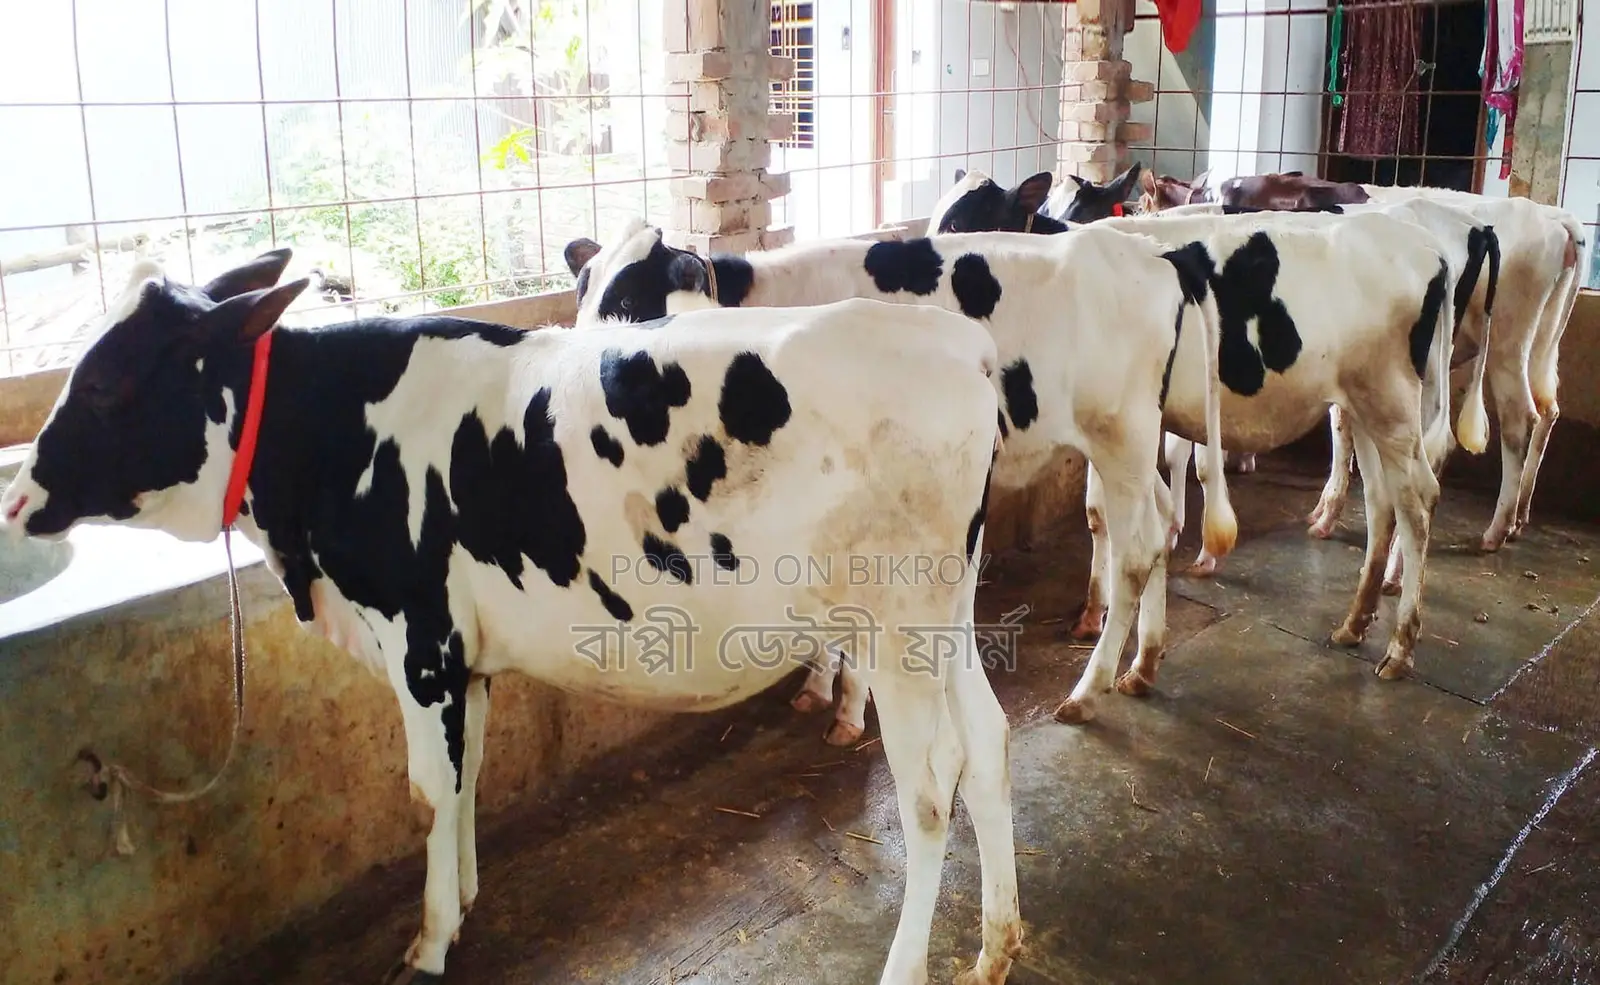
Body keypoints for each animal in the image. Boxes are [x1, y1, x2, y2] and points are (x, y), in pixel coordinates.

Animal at [0, 250, 1025, 985]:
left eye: (106, 381)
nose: (16, 496)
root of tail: (955, 342)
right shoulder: (465, 657)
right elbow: (466, 778)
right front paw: (464, 897)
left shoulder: (417, 638)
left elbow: (425, 790)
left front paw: (426, 943)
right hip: (948, 614)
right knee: (987, 741)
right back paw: (997, 942)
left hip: (897, 626)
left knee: (928, 787)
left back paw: (907, 965)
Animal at [563, 217, 1240, 732]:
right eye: (582, 293)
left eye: (628, 303)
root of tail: (1155, 253)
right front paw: (819, 688)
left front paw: (848, 708)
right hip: (1131, 444)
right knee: (1161, 523)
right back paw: (1143, 664)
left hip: (1120, 435)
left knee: (1138, 548)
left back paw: (1087, 691)